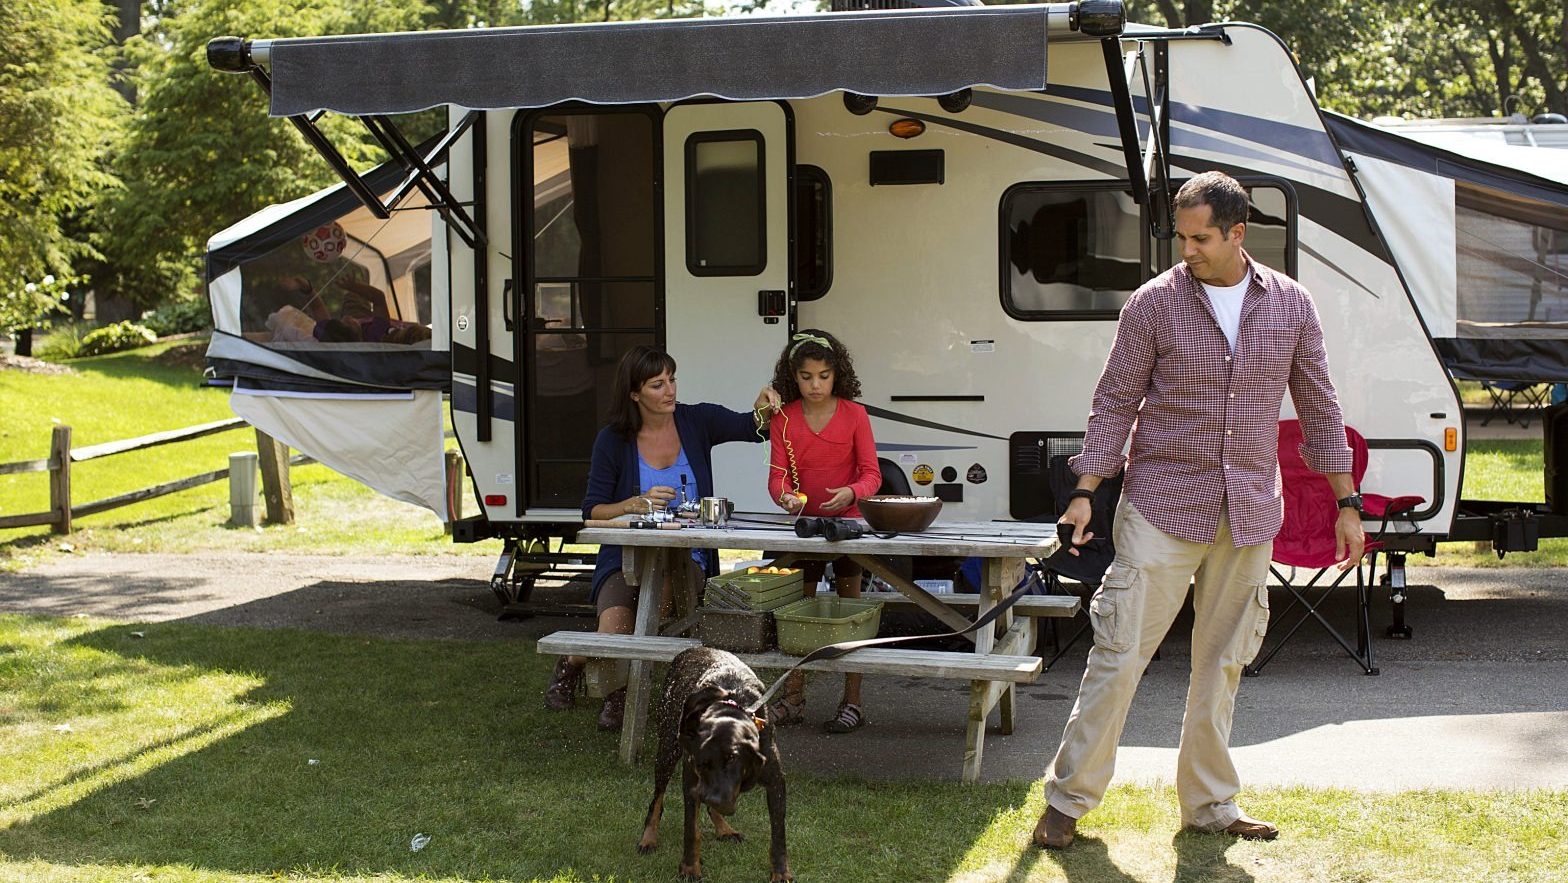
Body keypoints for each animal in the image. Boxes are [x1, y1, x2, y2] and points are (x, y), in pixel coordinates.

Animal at [636, 646, 790, 878]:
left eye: (732, 759)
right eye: (700, 763)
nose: (715, 799)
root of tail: (691, 649)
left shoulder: (775, 782)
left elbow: (778, 834)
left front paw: (781, 873)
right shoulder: (692, 782)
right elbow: (691, 830)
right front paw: (690, 868)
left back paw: (724, 828)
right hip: (667, 749)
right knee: (657, 799)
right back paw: (649, 838)